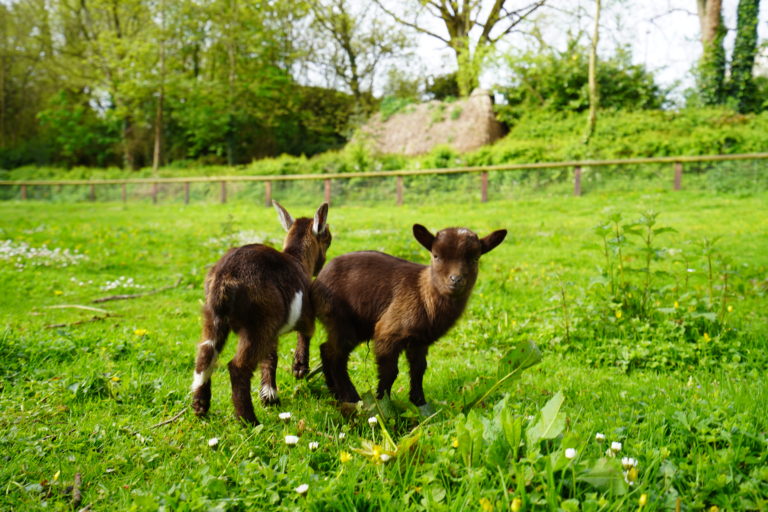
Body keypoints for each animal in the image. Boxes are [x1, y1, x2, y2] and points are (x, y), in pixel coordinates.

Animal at [191, 201, 331, 425]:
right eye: (328, 239)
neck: (297, 260)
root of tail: (225, 276)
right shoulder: (305, 316)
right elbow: (305, 336)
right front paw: (299, 370)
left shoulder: (274, 330)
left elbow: (270, 357)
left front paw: (269, 396)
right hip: (258, 323)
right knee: (238, 367)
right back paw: (249, 420)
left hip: (214, 317)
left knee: (204, 355)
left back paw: (200, 407)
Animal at [312, 224, 506, 412]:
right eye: (436, 256)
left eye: (475, 259)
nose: (456, 280)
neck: (424, 294)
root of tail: (318, 278)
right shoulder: (388, 332)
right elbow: (390, 372)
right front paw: (382, 404)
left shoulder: (420, 340)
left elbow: (419, 369)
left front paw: (420, 403)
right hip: (338, 317)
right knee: (336, 355)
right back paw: (351, 397)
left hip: (356, 325)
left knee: (326, 349)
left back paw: (334, 393)